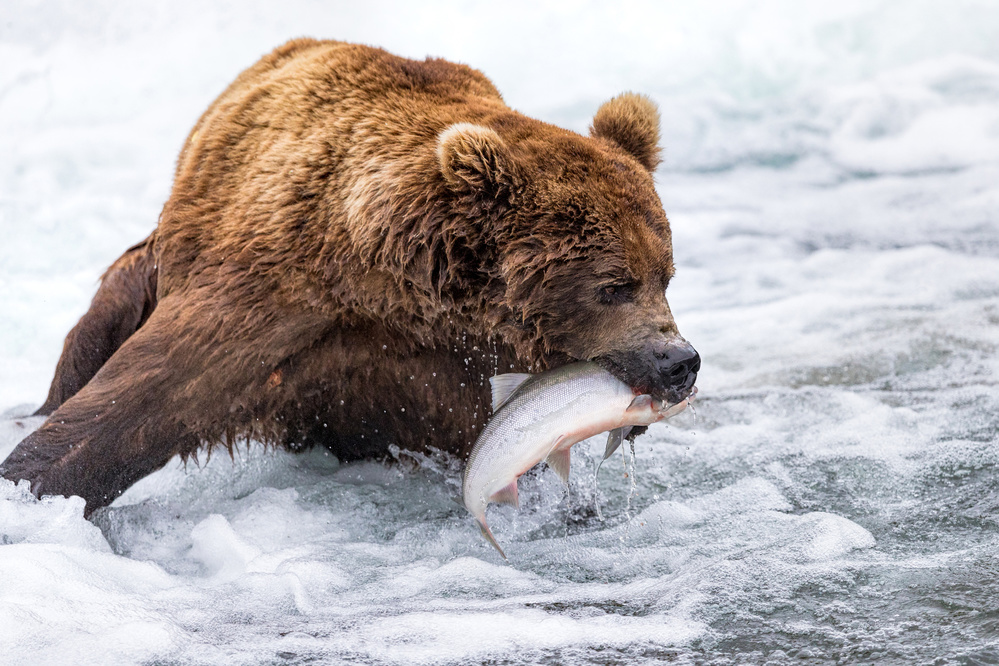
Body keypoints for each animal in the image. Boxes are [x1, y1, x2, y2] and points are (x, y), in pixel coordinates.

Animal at [1, 39, 696, 510]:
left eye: (664, 275)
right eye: (613, 286)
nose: (678, 361)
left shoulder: (451, 361)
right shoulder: (274, 295)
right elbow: (144, 396)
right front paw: (34, 481)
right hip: (147, 272)